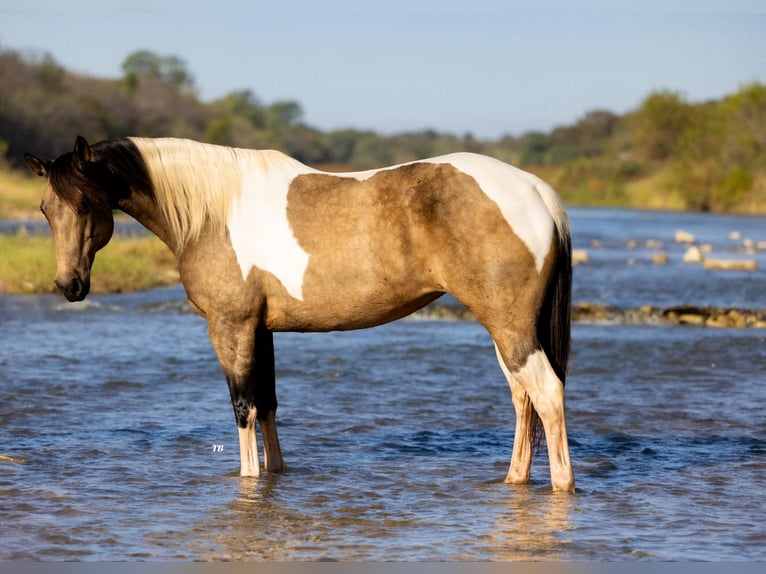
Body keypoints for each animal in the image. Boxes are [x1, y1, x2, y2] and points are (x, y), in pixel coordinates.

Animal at [25, 136, 575, 492]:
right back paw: (514, 479)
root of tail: (536, 191)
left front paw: (247, 480)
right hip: (509, 330)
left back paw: (561, 487)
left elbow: (243, 407)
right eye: (47, 209)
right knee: (522, 397)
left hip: (509, 325)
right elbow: (267, 403)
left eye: (85, 203)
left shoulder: (231, 327)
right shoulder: (262, 330)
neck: (212, 212)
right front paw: (273, 477)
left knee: (546, 394)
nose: (69, 285)